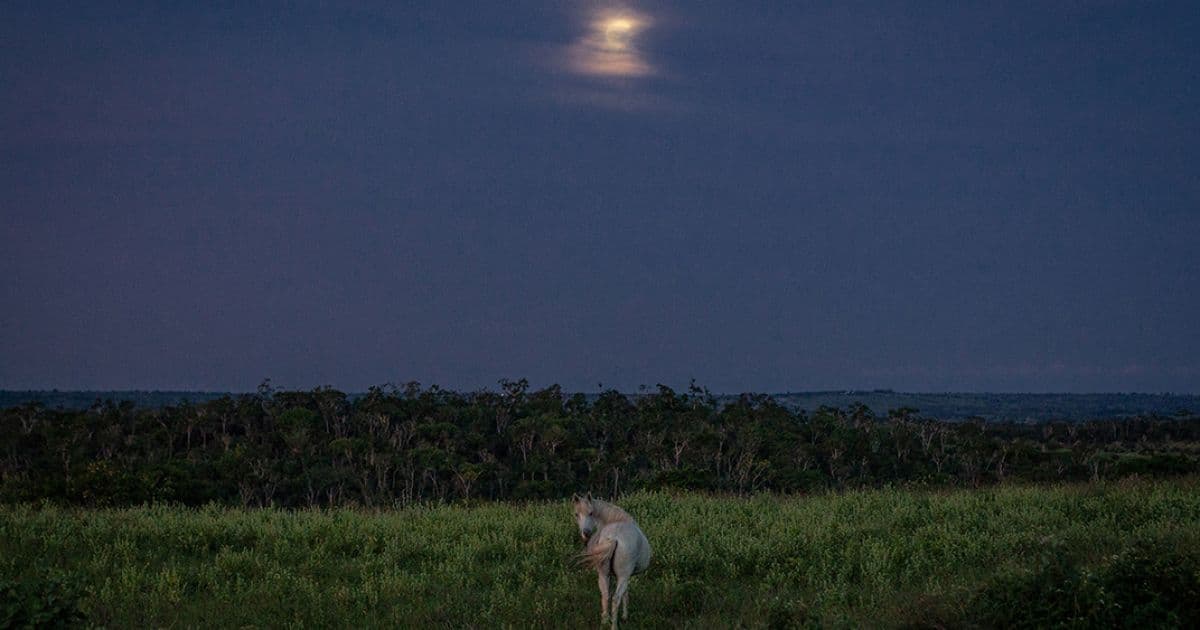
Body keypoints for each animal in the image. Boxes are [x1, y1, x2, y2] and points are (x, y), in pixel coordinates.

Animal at [573, 494, 657, 624]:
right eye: (576, 514)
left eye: (591, 513)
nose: (585, 533)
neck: (619, 519)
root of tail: (614, 538)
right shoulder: (625, 576)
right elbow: (625, 594)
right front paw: (625, 616)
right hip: (623, 576)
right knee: (615, 599)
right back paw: (614, 624)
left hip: (603, 575)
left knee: (605, 595)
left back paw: (605, 621)